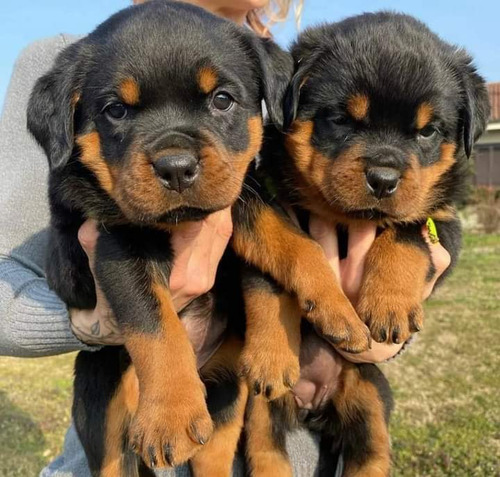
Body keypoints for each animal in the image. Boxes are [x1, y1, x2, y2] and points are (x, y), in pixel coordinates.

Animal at [26, 1, 292, 474]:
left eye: (222, 100)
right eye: (116, 110)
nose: (176, 167)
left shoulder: (240, 196)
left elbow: (276, 255)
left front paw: (304, 333)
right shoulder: (115, 244)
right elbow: (155, 323)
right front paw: (170, 414)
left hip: (225, 395)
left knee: (214, 454)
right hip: (100, 385)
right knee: (113, 457)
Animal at [232, 11, 490, 476]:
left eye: (427, 132)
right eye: (341, 119)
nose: (384, 179)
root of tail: (312, 406)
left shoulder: (444, 223)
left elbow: (404, 235)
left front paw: (389, 305)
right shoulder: (261, 207)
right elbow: (271, 275)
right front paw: (270, 354)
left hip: (369, 388)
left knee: (369, 449)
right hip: (261, 409)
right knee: (265, 446)